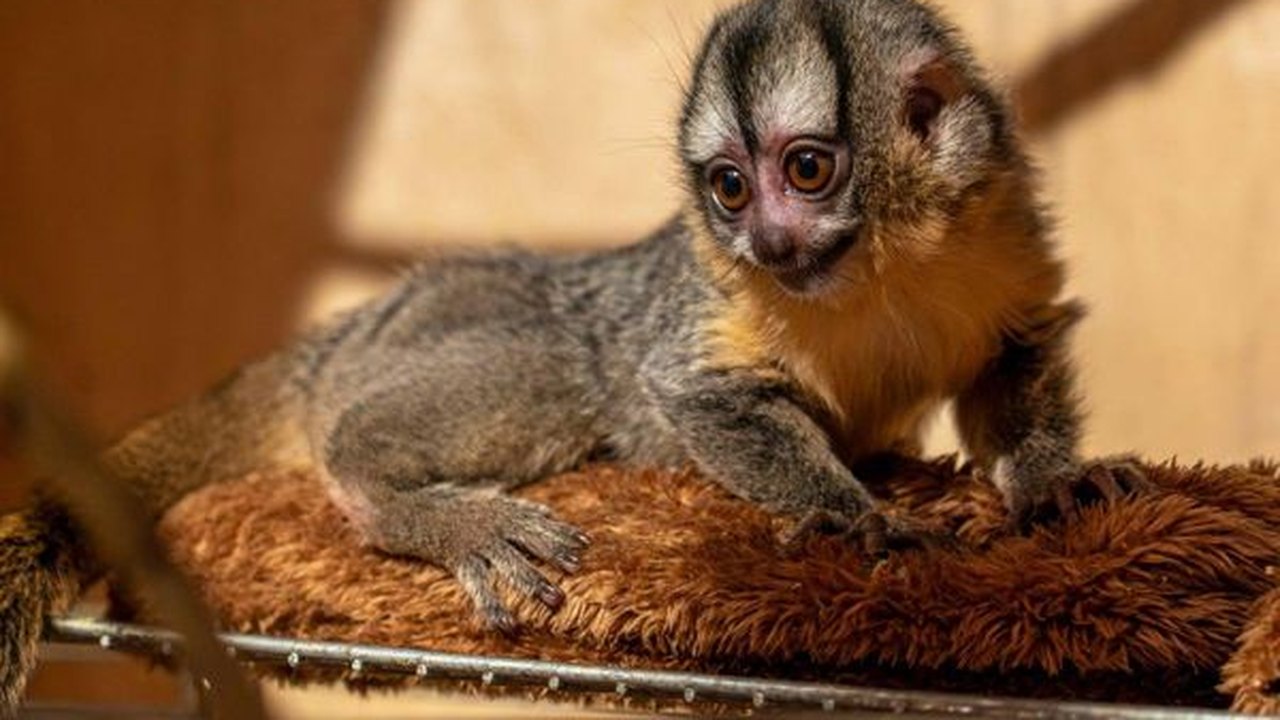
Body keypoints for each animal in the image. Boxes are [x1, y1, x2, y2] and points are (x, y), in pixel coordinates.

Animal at [0, 0, 1146, 711]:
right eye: (729, 187)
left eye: (807, 171)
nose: (767, 244)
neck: (881, 266)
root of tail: (362, 325)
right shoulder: (711, 297)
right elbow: (690, 391)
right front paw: (847, 516)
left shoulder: (997, 229)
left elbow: (1012, 357)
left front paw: (1051, 485)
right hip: (447, 329)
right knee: (545, 379)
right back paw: (410, 501)